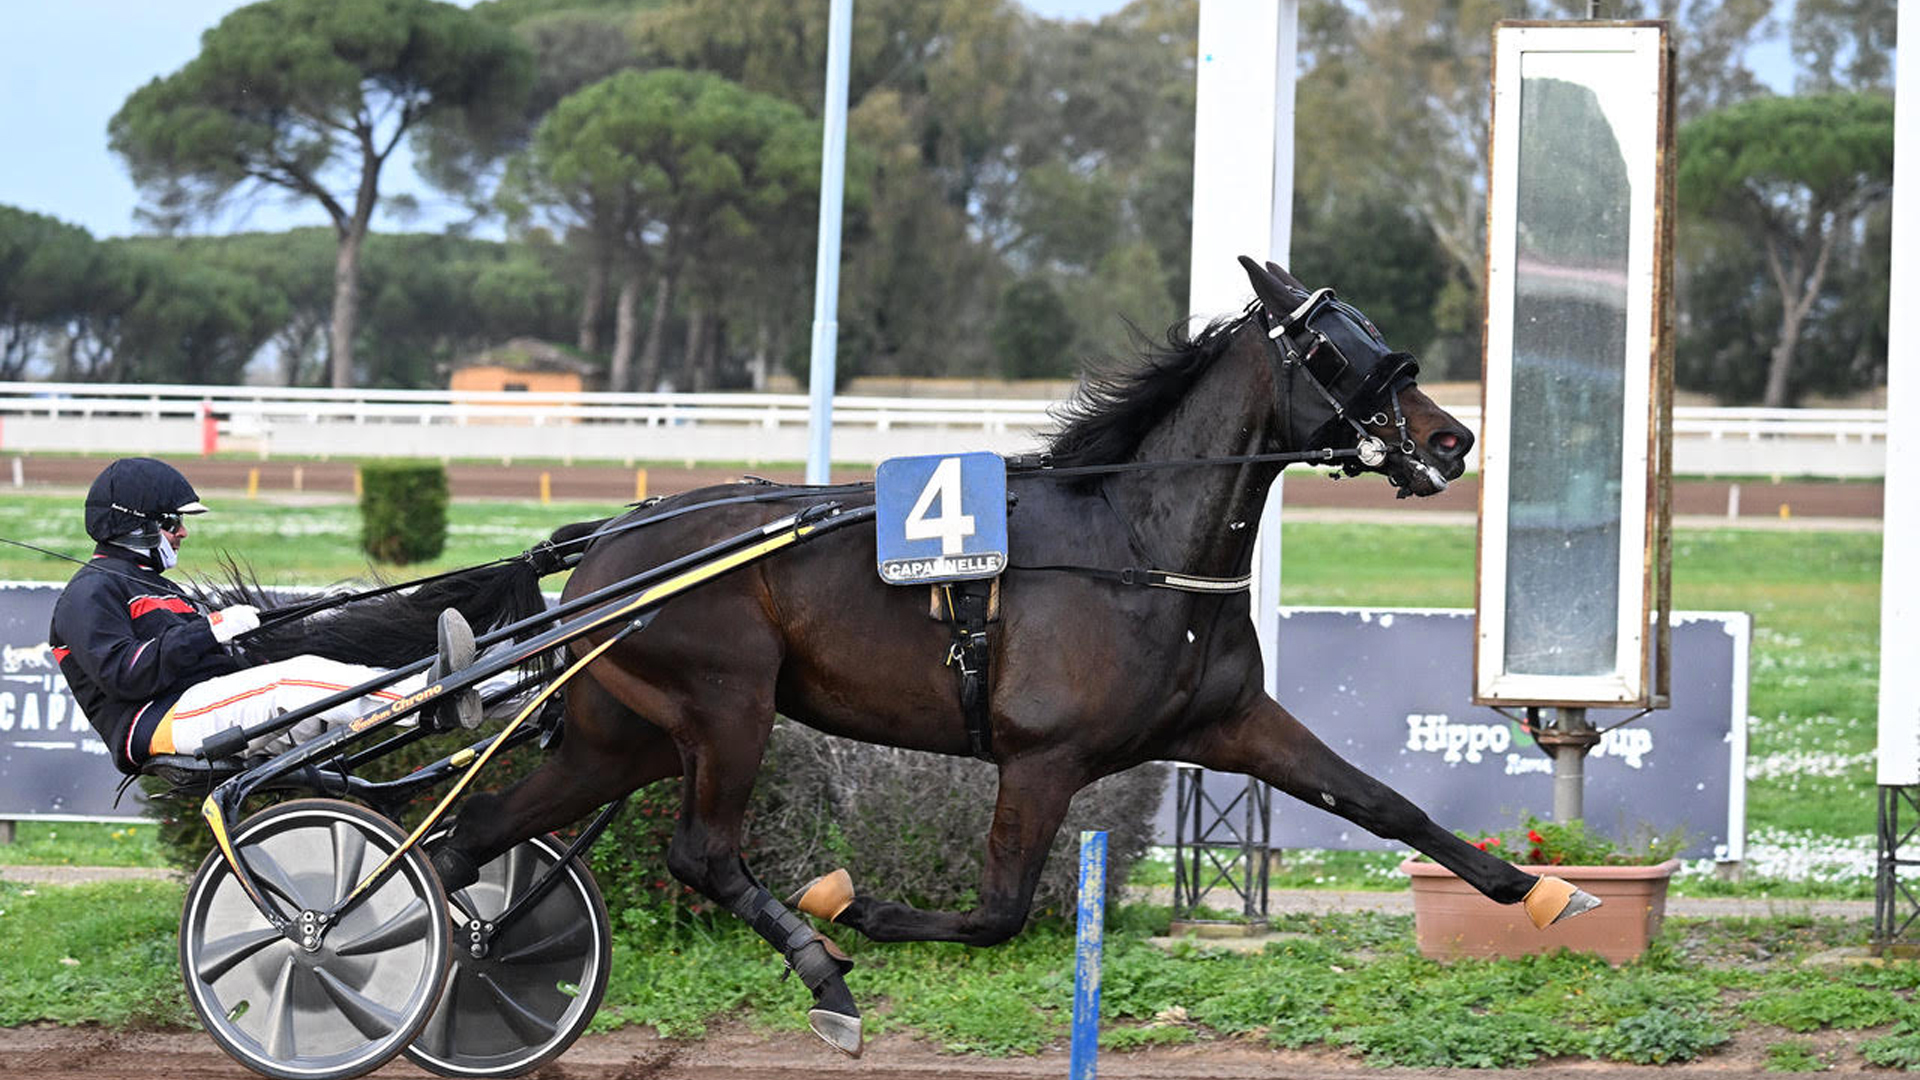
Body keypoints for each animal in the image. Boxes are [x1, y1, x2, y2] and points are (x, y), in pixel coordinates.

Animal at [262, 258, 1598, 1057]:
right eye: (1333, 347)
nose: (1452, 436)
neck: (1132, 545)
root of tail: (602, 548)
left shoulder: (1229, 724)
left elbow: (1384, 803)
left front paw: (1539, 889)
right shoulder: (1041, 758)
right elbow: (998, 913)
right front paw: (850, 904)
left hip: (620, 736)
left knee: (468, 844)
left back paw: (427, 980)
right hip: (726, 706)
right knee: (698, 853)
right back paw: (824, 977)